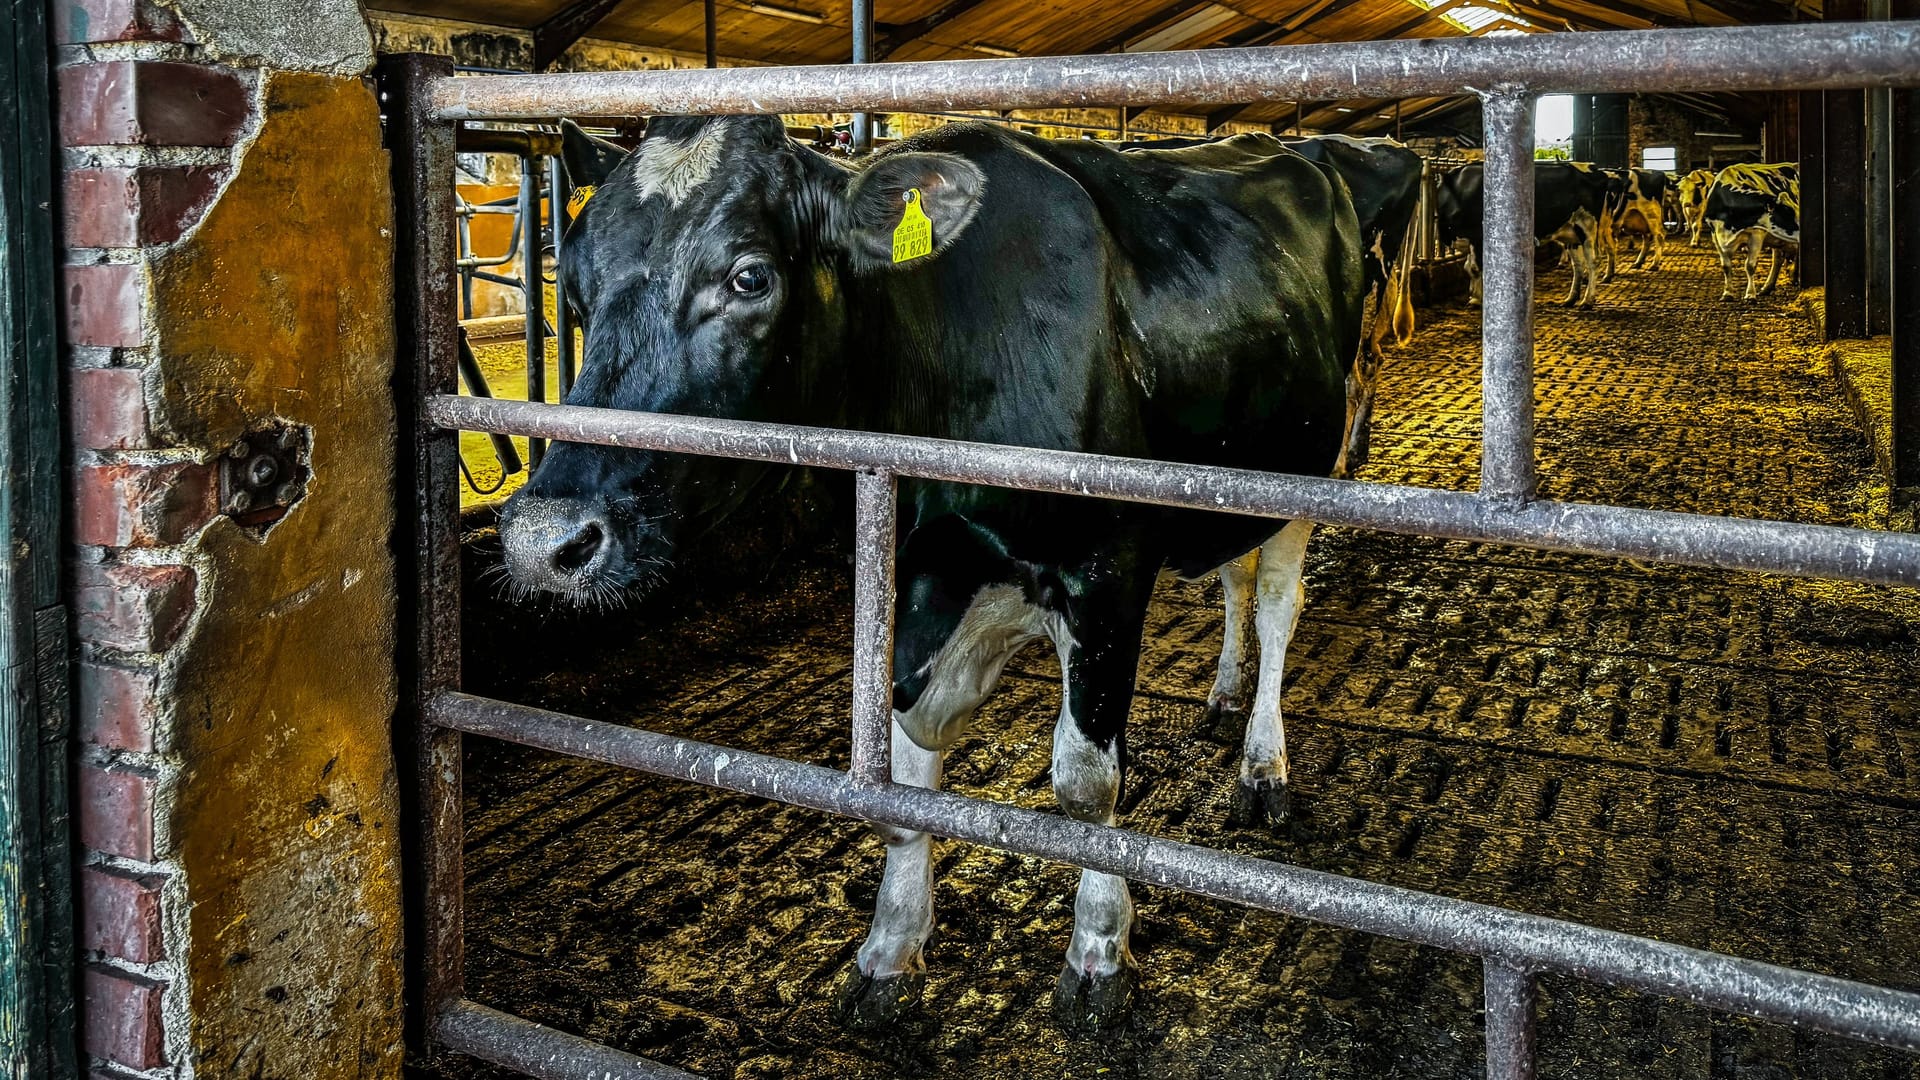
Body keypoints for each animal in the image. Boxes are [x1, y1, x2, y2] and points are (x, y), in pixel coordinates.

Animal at [510, 115, 1367, 1022]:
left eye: (749, 276)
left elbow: (1085, 784)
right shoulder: (908, 576)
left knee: (1275, 604)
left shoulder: (1108, 572)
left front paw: (1100, 951)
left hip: (1309, 467)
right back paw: (1223, 693)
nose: (542, 538)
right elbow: (904, 775)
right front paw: (892, 945)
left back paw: (1263, 763)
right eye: (574, 286)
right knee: (1235, 582)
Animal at [1436, 161, 1612, 309]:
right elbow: (1469, 267)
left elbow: (1476, 267)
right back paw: (1571, 299)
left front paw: (1479, 299)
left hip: (1587, 225)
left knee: (1593, 261)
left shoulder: (1478, 237)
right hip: (1571, 232)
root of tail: (1595, 170)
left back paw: (1588, 301)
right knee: (1578, 265)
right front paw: (1475, 297)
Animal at [1712, 157, 1797, 297]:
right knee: (1778, 258)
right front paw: (1727, 293)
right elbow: (1726, 266)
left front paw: (1750, 294)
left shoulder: (1757, 234)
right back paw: (1768, 287)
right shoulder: (1716, 236)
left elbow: (1750, 266)